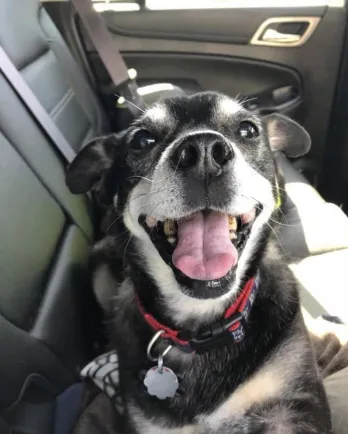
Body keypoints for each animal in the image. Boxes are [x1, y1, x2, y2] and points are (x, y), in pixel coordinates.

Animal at [66, 92, 332, 434]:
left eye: (248, 130)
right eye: (142, 139)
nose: (204, 152)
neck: (202, 326)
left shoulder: (292, 399)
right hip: (99, 267)